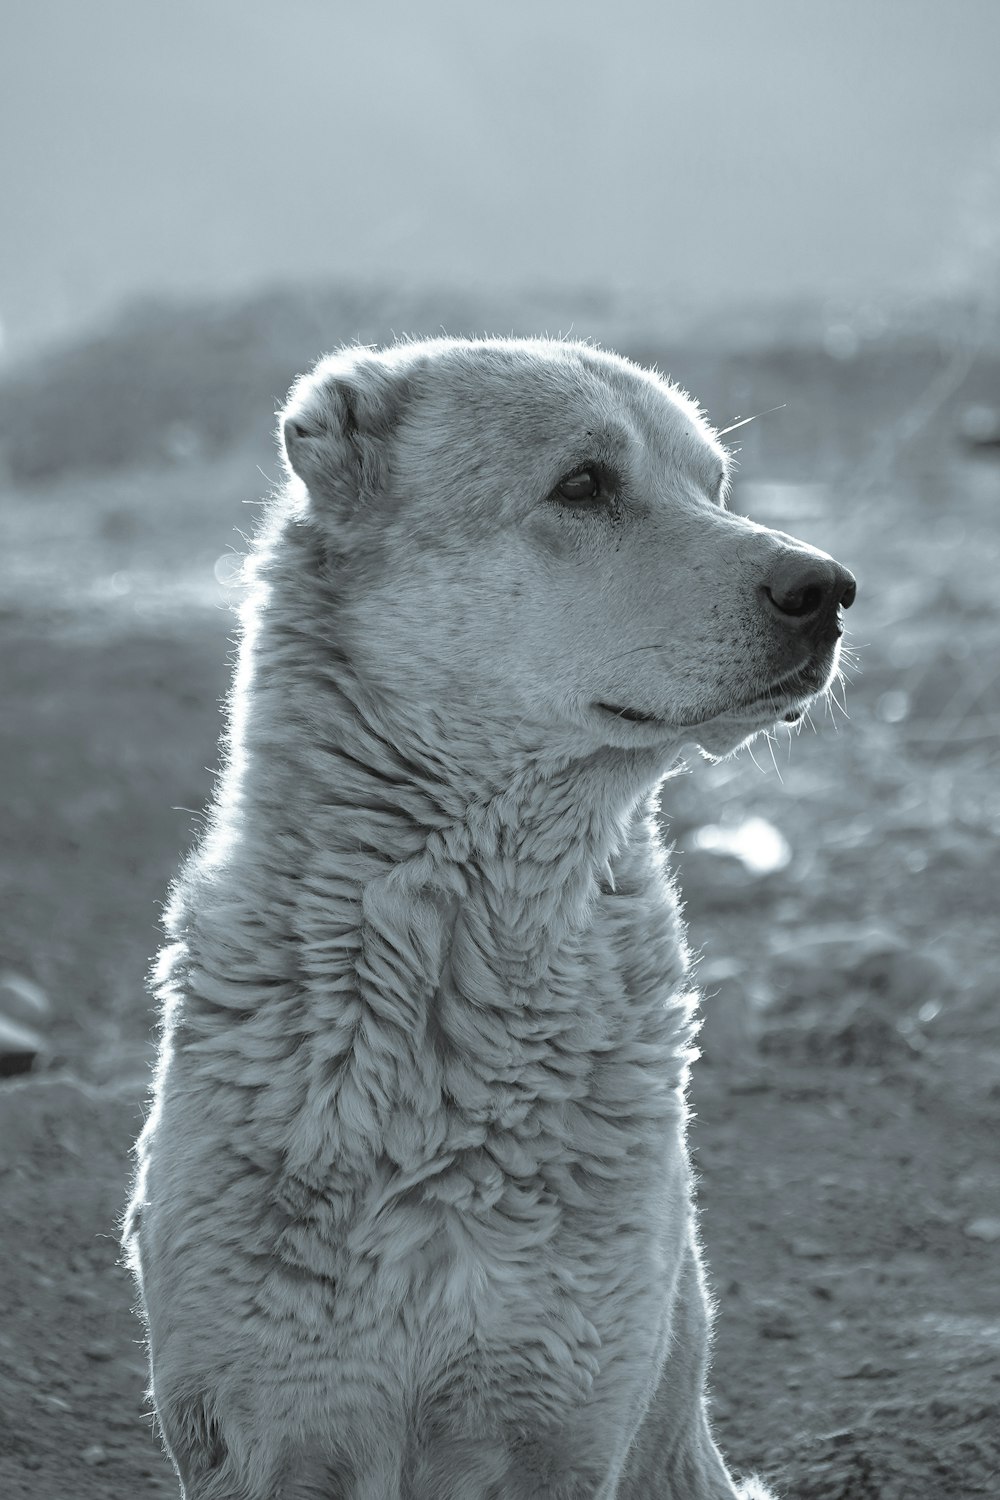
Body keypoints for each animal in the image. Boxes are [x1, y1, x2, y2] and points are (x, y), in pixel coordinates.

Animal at [125, 334, 857, 1494]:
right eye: (583, 484)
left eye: (714, 488)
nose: (827, 587)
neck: (462, 958)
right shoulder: (267, 1431)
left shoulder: (563, 1424)